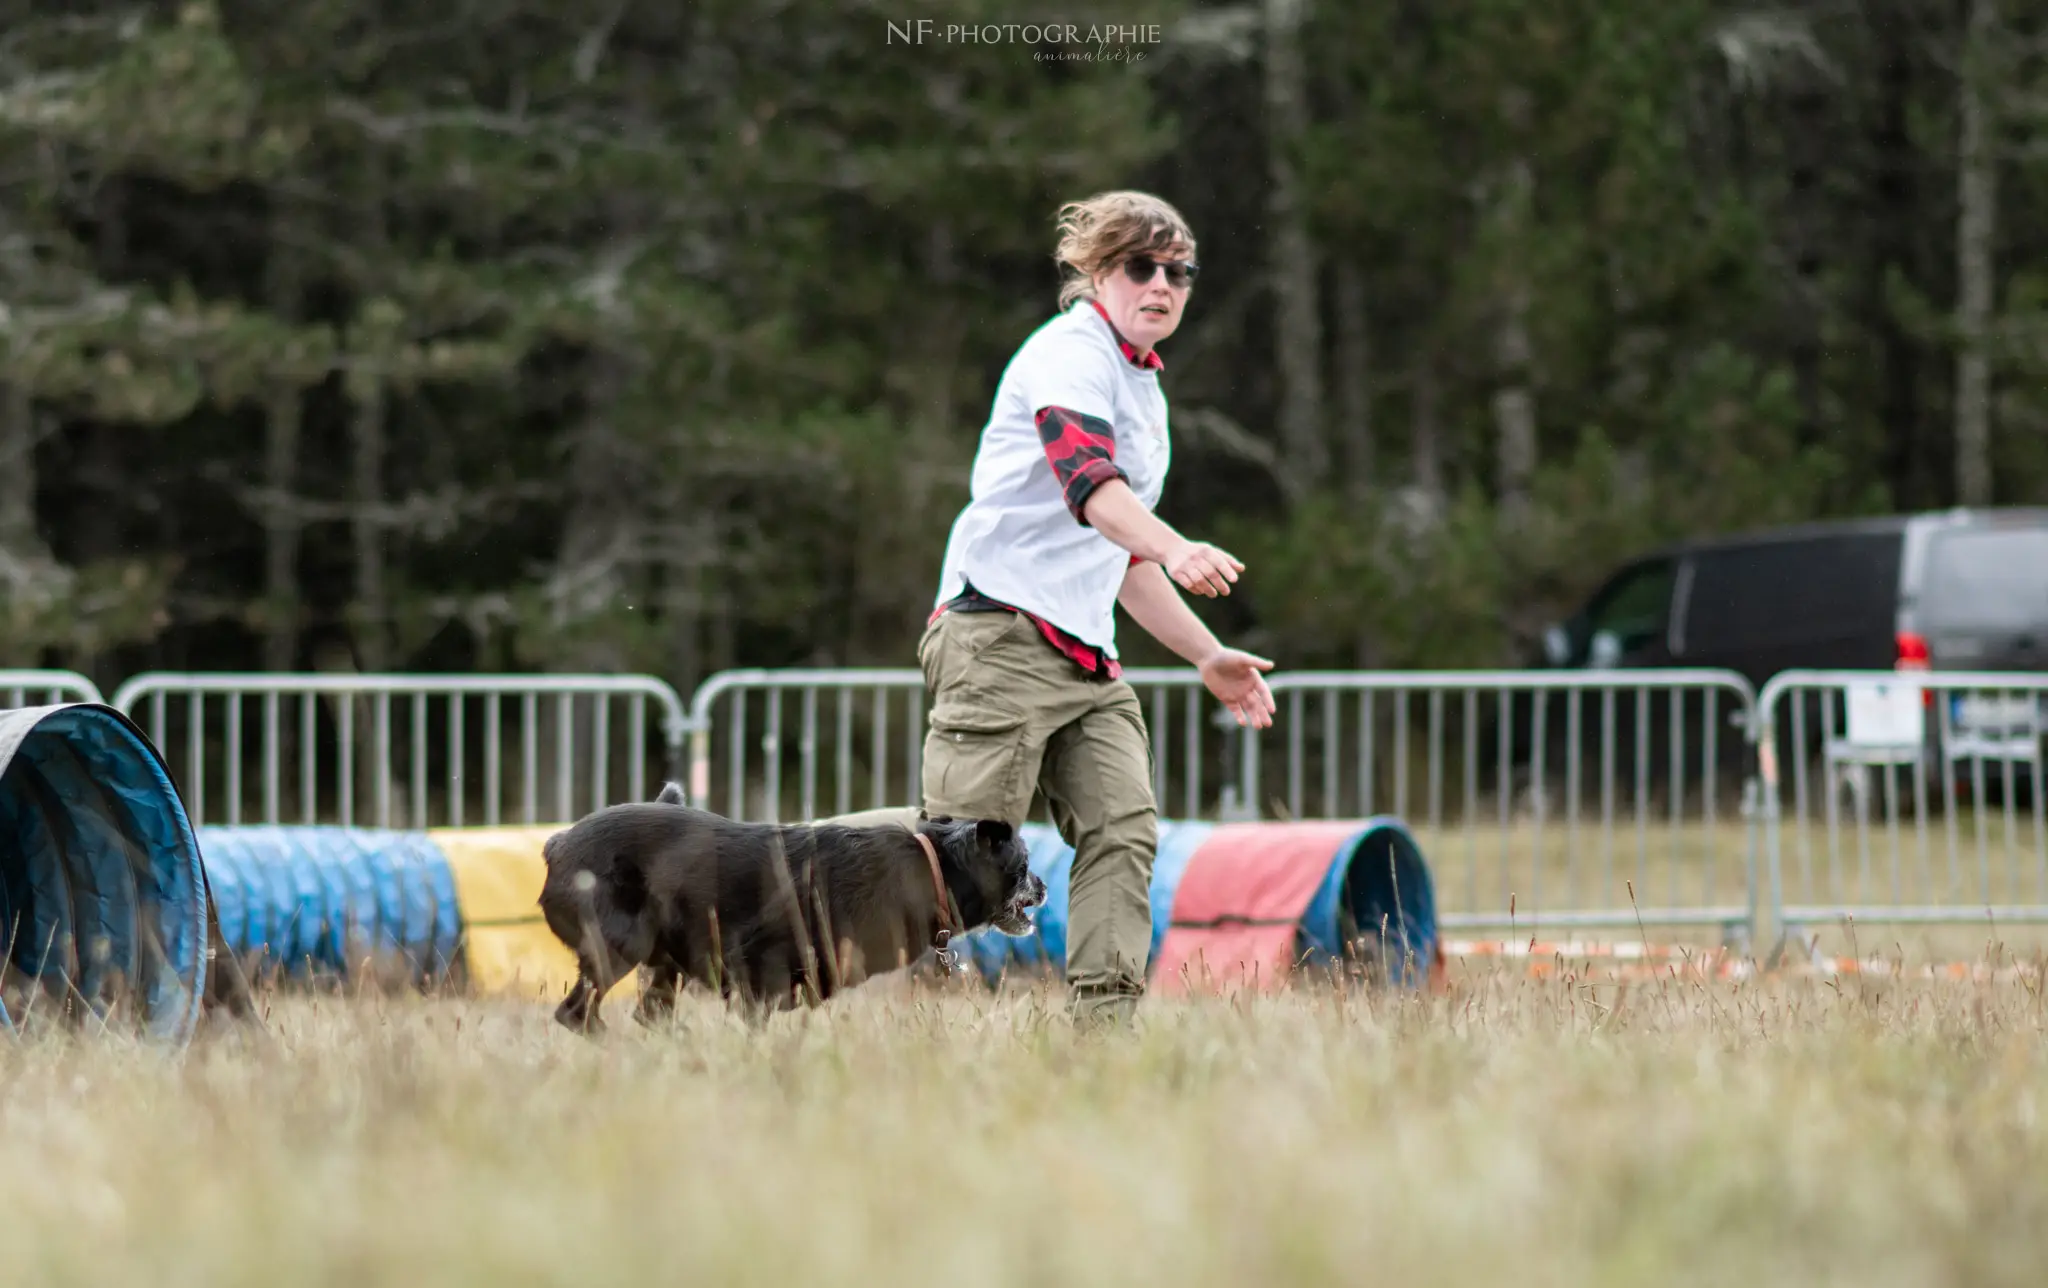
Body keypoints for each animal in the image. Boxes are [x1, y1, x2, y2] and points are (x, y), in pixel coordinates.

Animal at [536, 778, 1040, 1027]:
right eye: (1025, 862)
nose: (1043, 885)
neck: (933, 865)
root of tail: (555, 845)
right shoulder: (756, 975)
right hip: (621, 946)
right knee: (575, 1015)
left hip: (662, 965)